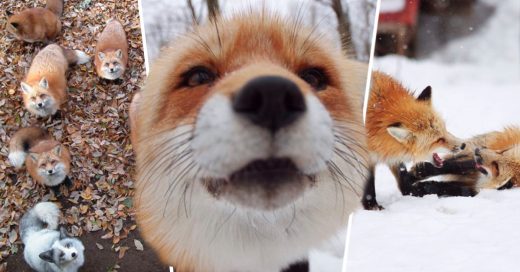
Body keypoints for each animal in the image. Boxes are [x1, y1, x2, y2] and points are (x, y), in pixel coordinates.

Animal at [362, 71, 464, 209]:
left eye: (445, 130)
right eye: (439, 140)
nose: (463, 145)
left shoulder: (392, 150)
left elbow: (402, 176)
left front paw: (413, 191)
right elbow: (368, 185)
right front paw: (371, 205)